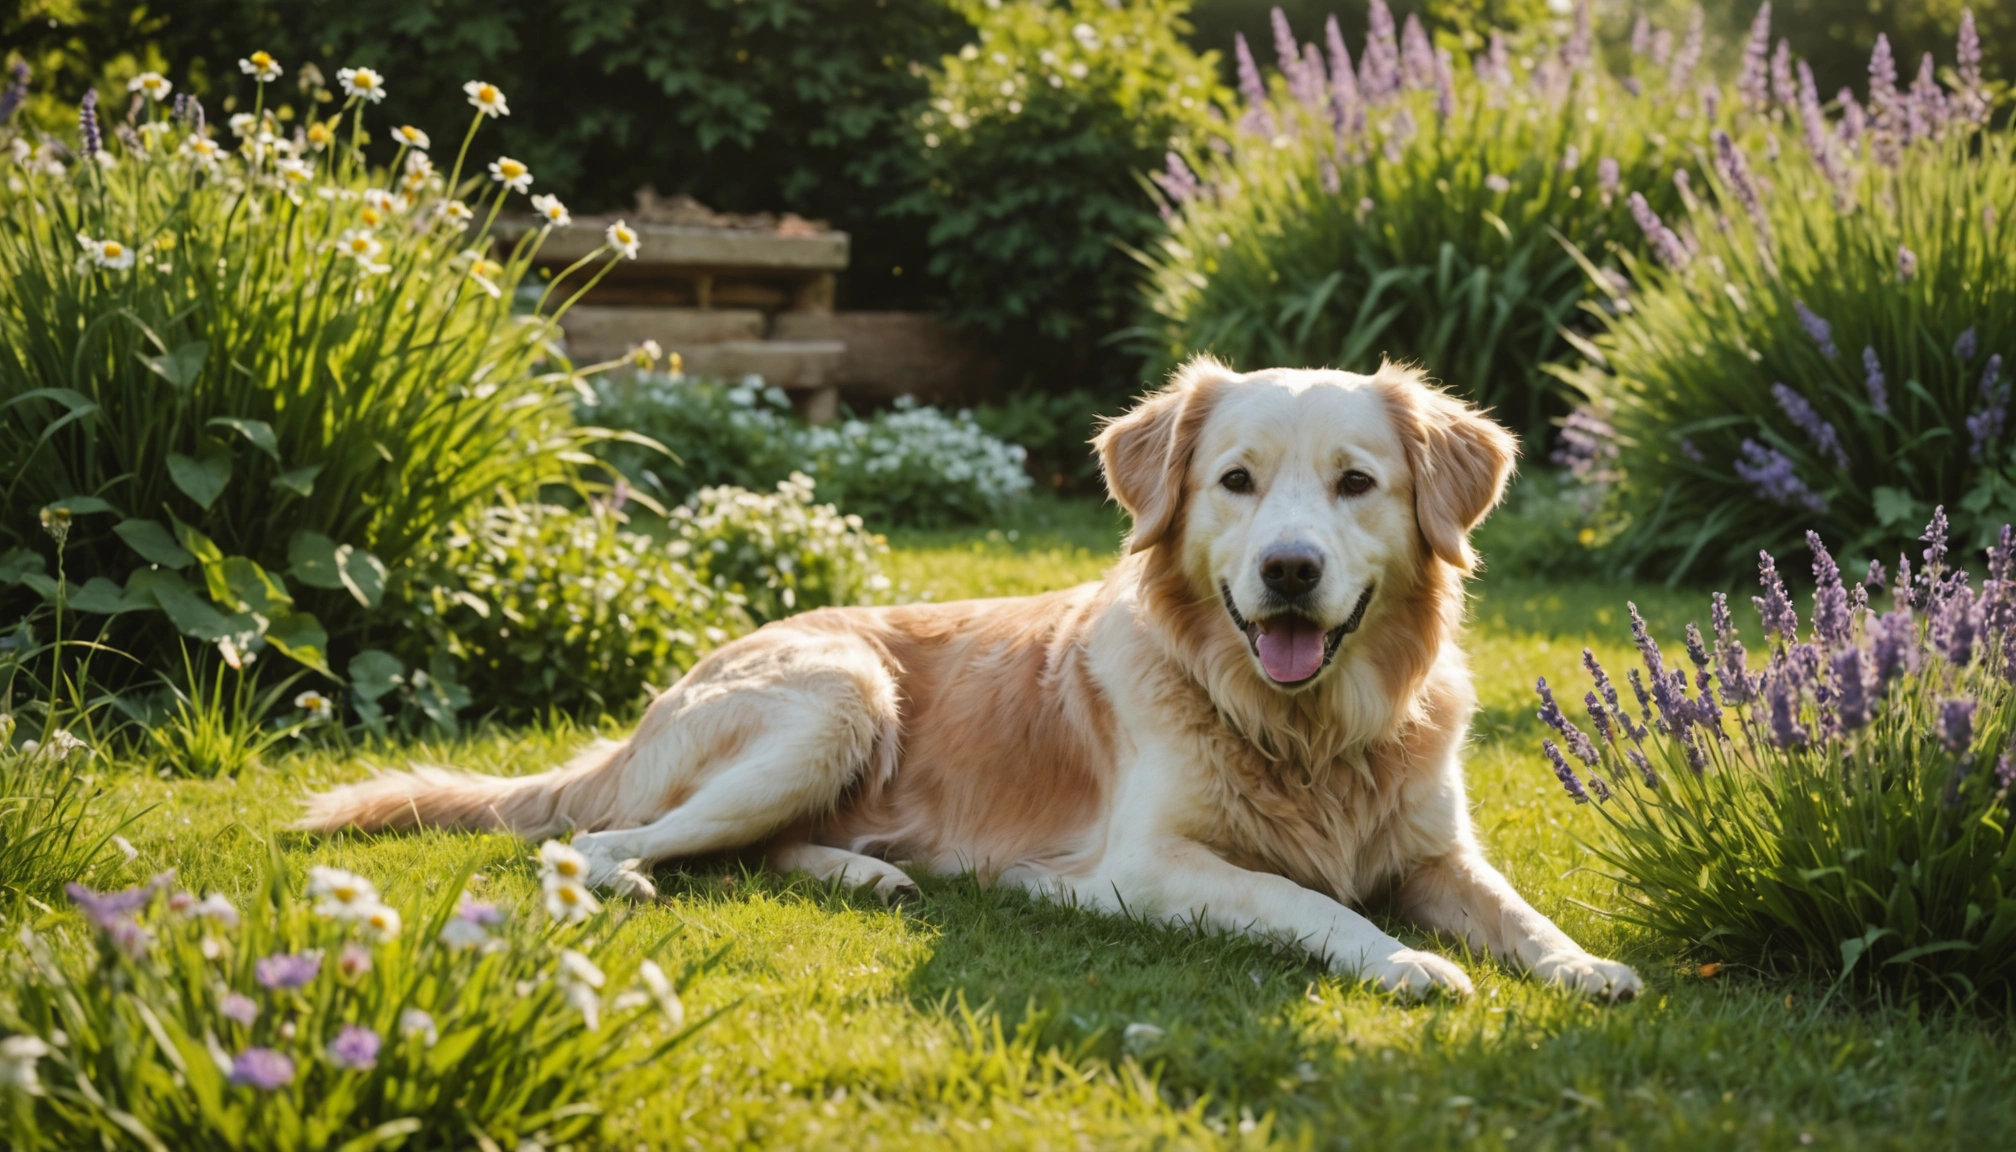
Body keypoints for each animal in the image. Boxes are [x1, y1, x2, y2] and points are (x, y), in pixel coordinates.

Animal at [298, 359, 1636, 1000]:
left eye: (1356, 483)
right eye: (1236, 482)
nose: (1290, 571)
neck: (1302, 729)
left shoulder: (1436, 852)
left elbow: (1516, 908)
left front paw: (1584, 966)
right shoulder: (1147, 867)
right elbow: (1308, 902)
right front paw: (1406, 964)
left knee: (740, 851)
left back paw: (867, 872)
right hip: (836, 695)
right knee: (603, 840)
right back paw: (637, 879)